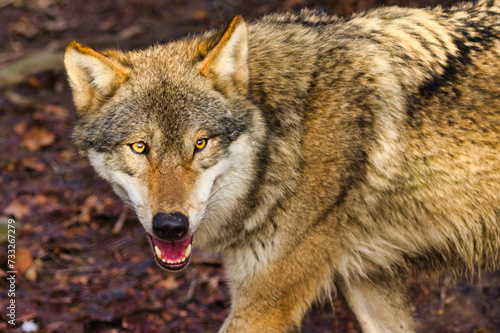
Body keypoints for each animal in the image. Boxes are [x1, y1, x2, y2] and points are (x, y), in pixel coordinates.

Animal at [64, 0, 498, 330]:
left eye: (200, 144)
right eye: (140, 147)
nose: (171, 226)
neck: (287, 141)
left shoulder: (265, 305)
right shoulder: (368, 280)